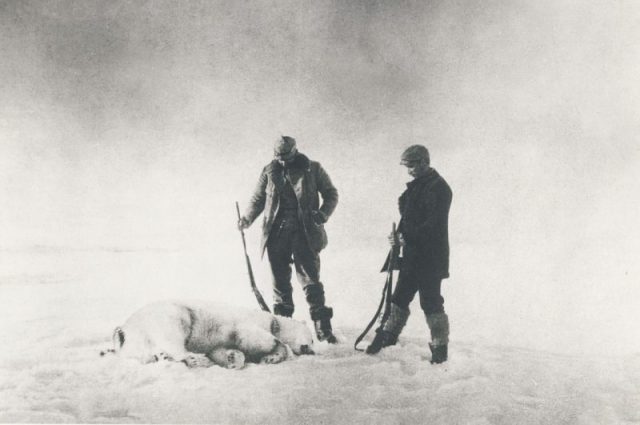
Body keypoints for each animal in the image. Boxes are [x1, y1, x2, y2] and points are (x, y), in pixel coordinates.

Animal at [103, 300, 316, 366]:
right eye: (313, 339)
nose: (311, 350)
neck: (271, 320)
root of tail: (125, 328)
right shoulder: (248, 323)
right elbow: (254, 336)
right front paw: (272, 352)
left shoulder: (220, 341)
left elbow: (221, 350)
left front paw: (233, 358)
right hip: (173, 315)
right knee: (173, 337)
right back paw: (194, 358)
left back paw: (164, 357)